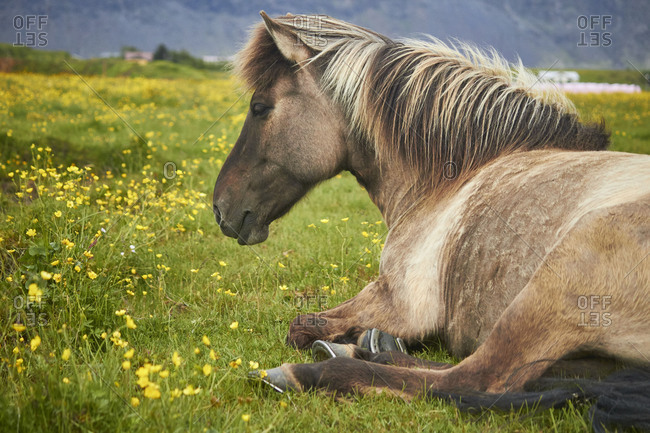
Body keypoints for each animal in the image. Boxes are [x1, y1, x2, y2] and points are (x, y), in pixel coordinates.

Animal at [212, 12, 650, 430]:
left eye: (260, 107)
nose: (220, 208)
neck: (453, 177)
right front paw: (365, 341)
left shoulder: (399, 301)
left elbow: (301, 324)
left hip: (549, 293)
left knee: (473, 379)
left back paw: (305, 372)